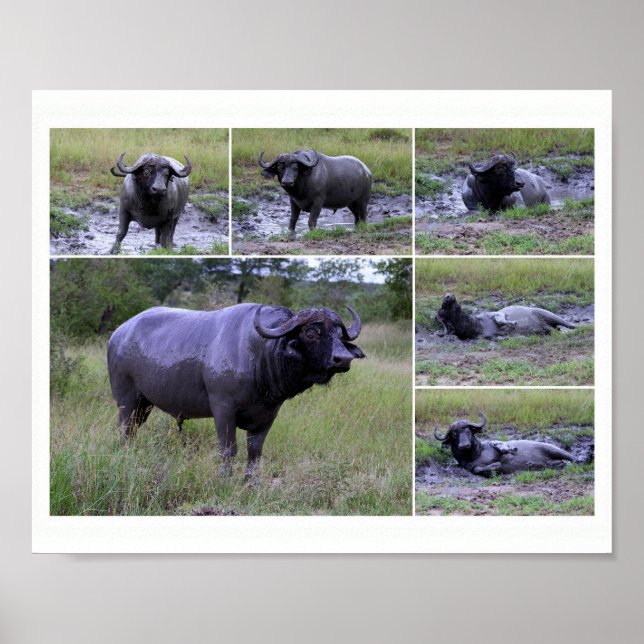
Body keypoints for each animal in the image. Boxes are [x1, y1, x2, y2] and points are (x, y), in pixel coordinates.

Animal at [107, 303, 365, 477]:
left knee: (133, 431)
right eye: (311, 333)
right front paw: (225, 480)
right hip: (126, 401)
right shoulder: (223, 410)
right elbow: (229, 450)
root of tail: (119, 333)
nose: (343, 359)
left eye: (339, 334)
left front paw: (251, 484)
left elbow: (255, 453)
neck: (260, 354)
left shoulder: (267, 416)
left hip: (144, 404)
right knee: (123, 430)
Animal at [433, 413, 574, 476]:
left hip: (554, 450)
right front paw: (496, 465)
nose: (464, 445)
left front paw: (508, 451)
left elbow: (500, 446)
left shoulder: (495, 444)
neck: (475, 454)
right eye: (454, 434)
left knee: (572, 458)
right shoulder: (470, 468)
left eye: (468, 431)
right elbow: (478, 469)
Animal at [436, 293, 577, 340]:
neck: (477, 325)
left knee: (568, 324)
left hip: (546, 313)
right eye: (442, 308)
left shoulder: (493, 313)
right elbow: (497, 337)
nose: (448, 295)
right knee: (554, 330)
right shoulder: (486, 336)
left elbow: (500, 318)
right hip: (549, 327)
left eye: (457, 306)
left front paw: (511, 323)